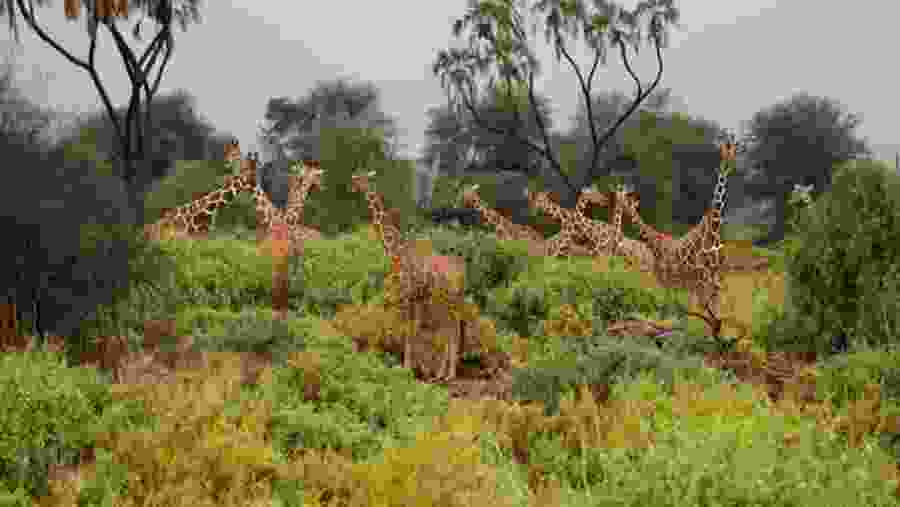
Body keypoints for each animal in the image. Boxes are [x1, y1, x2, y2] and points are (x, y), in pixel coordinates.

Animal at [352, 170, 464, 380]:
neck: (397, 250)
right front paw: (417, 369)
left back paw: (446, 375)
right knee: (453, 328)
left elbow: (408, 330)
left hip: (445, 298)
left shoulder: (405, 294)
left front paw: (406, 368)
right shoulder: (417, 297)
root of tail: (462, 272)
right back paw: (445, 374)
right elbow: (416, 329)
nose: (353, 184)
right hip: (451, 299)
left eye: (360, 178)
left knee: (451, 329)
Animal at [617, 142, 738, 335]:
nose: (729, 163)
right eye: (724, 152)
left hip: (700, 281)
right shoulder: (676, 282)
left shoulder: (709, 277)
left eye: (733, 151)